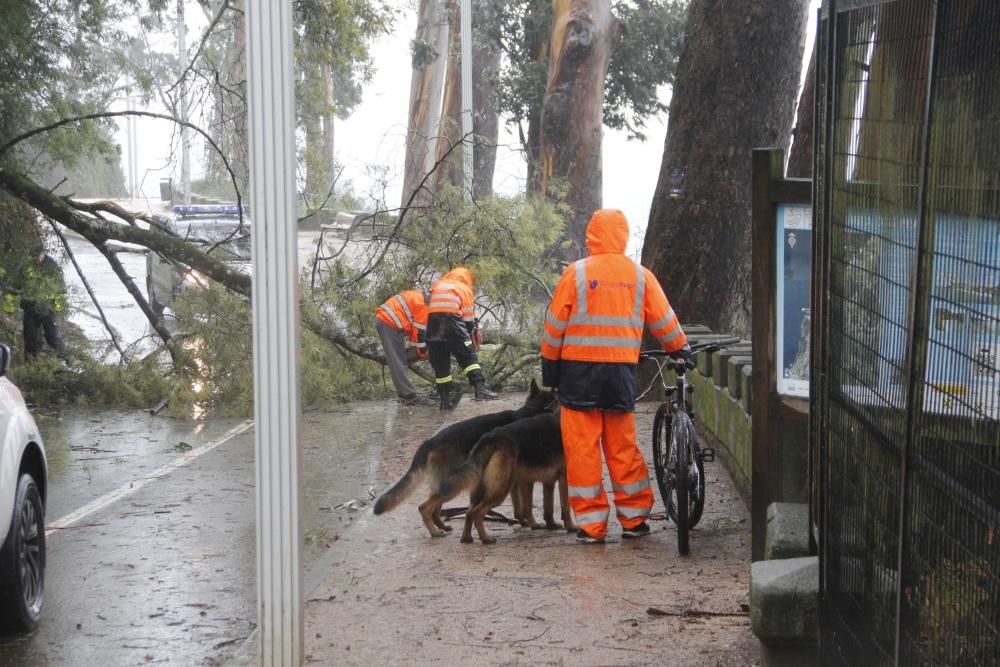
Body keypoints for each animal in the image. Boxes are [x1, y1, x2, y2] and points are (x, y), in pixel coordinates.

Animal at [372, 380, 556, 536]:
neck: (533, 409)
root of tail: (429, 442)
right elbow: (524, 505)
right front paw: (530, 523)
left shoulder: (512, 480)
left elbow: (518, 505)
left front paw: (522, 521)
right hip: (454, 484)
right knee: (426, 507)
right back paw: (435, 532)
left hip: (447, 483)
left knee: (435, 508)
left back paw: (442, 526)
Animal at [440, 410, 580, 544]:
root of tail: (490, 438)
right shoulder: (564, 479)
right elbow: (565, 506)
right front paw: (570, 527)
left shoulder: (548, 482)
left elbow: (548, 507)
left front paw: (551, 525)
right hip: (500, 490)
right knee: (477, 512)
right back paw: (486, 539)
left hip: (483, 491)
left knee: (469, 512)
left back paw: (467, 538)